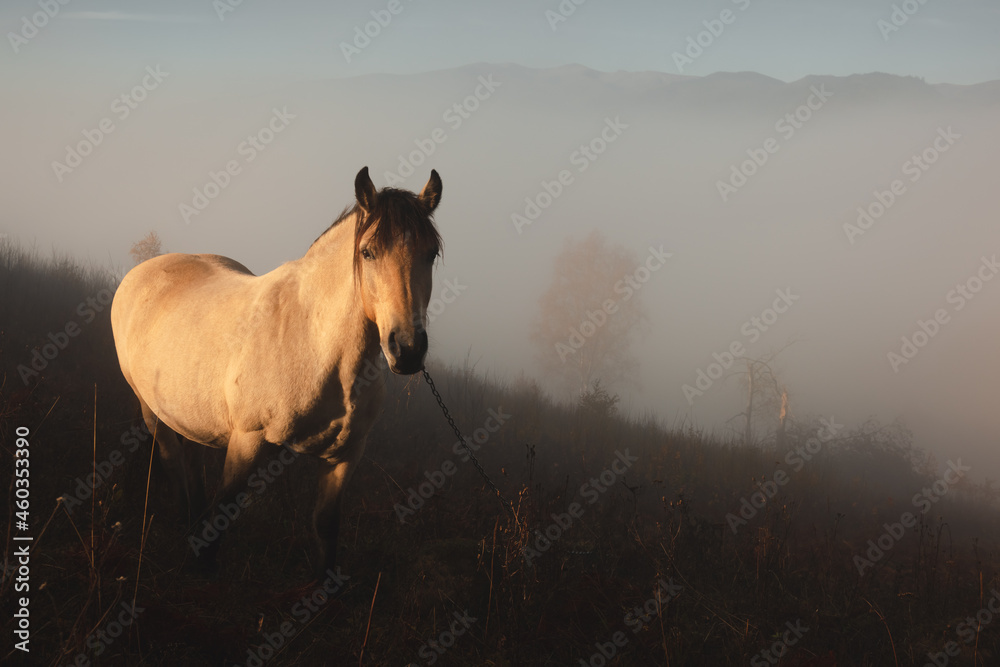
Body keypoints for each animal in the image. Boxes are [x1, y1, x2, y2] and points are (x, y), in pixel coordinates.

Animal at [110, 167, 442, 580]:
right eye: (368, 252)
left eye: (431, 254)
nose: (408, 349)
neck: (315, 345)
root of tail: (142, 272)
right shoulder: (247, 441)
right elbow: (224, 512)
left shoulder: (346, 455)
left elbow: (325, 527)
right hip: (152, 412)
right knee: (175, 469)